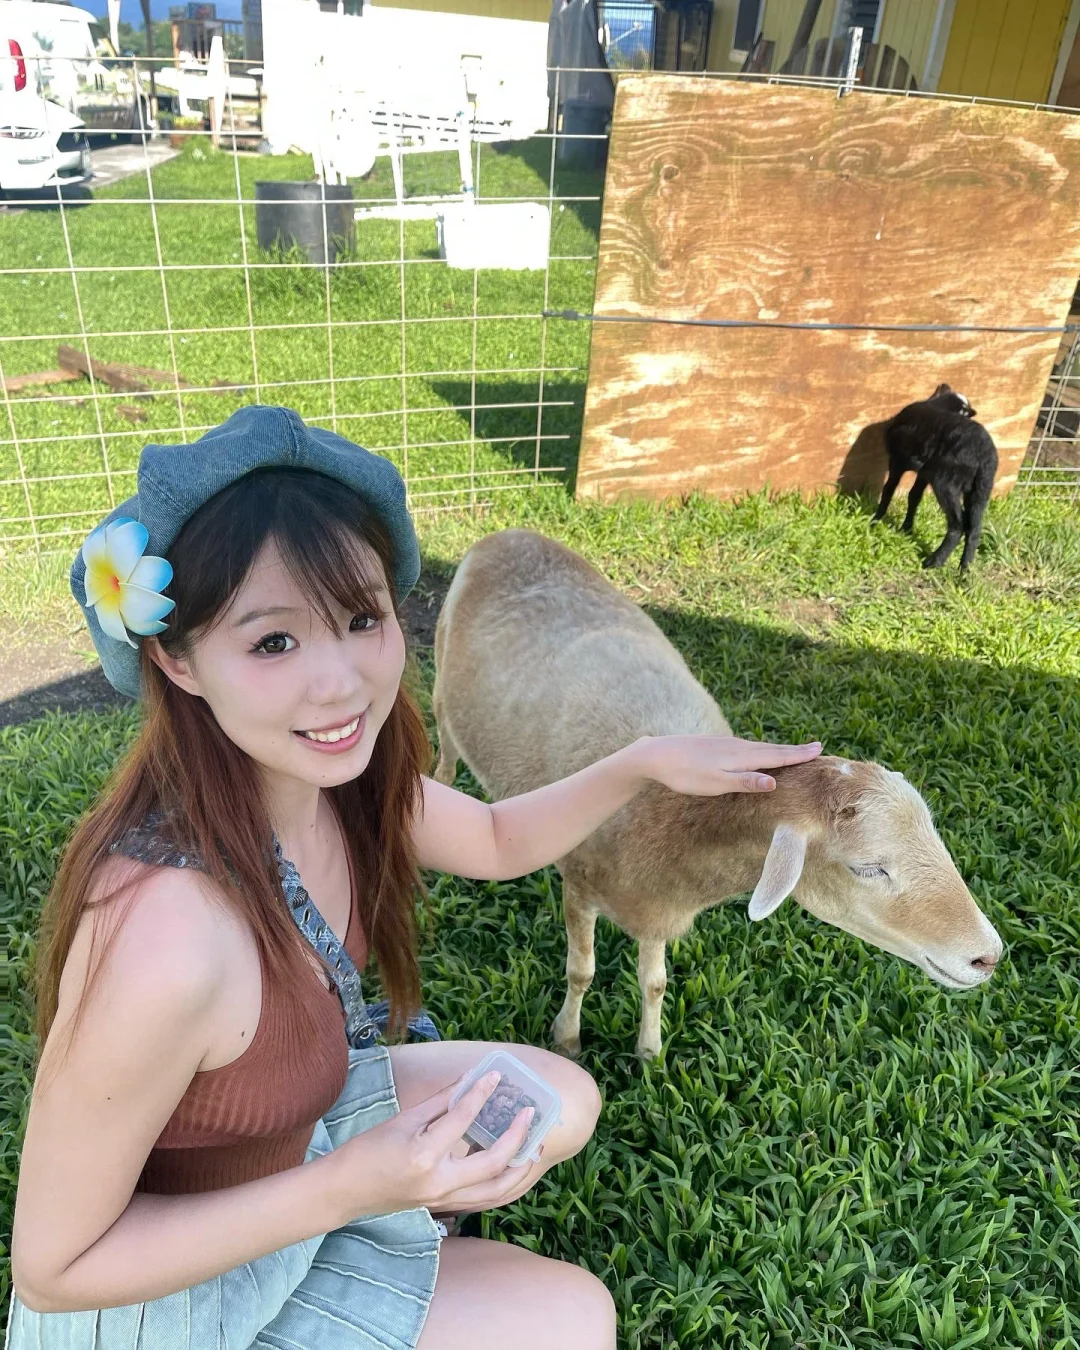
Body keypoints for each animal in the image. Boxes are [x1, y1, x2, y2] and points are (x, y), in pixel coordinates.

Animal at [432, 529, 1004, 1059]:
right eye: (867, 868)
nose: (990, 957)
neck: (672, 821)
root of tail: (509, 533)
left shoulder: (657, 909)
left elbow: (655, 983)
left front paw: (650, 1054)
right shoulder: (578, 885)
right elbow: (581, 972)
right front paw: (567, 1039)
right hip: (440, 677)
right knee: (442, 743)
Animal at [871, 382, 998, 571]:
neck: (939, 405)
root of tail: (984, 457)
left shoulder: (897, 461)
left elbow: (889, 489)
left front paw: (875, 520)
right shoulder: (924, 473)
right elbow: (914, 497)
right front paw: (906, 529)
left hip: (946, 482)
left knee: (958, 524)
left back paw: (934, 561)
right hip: (981, 489)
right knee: (975, 528)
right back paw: (964, 569)